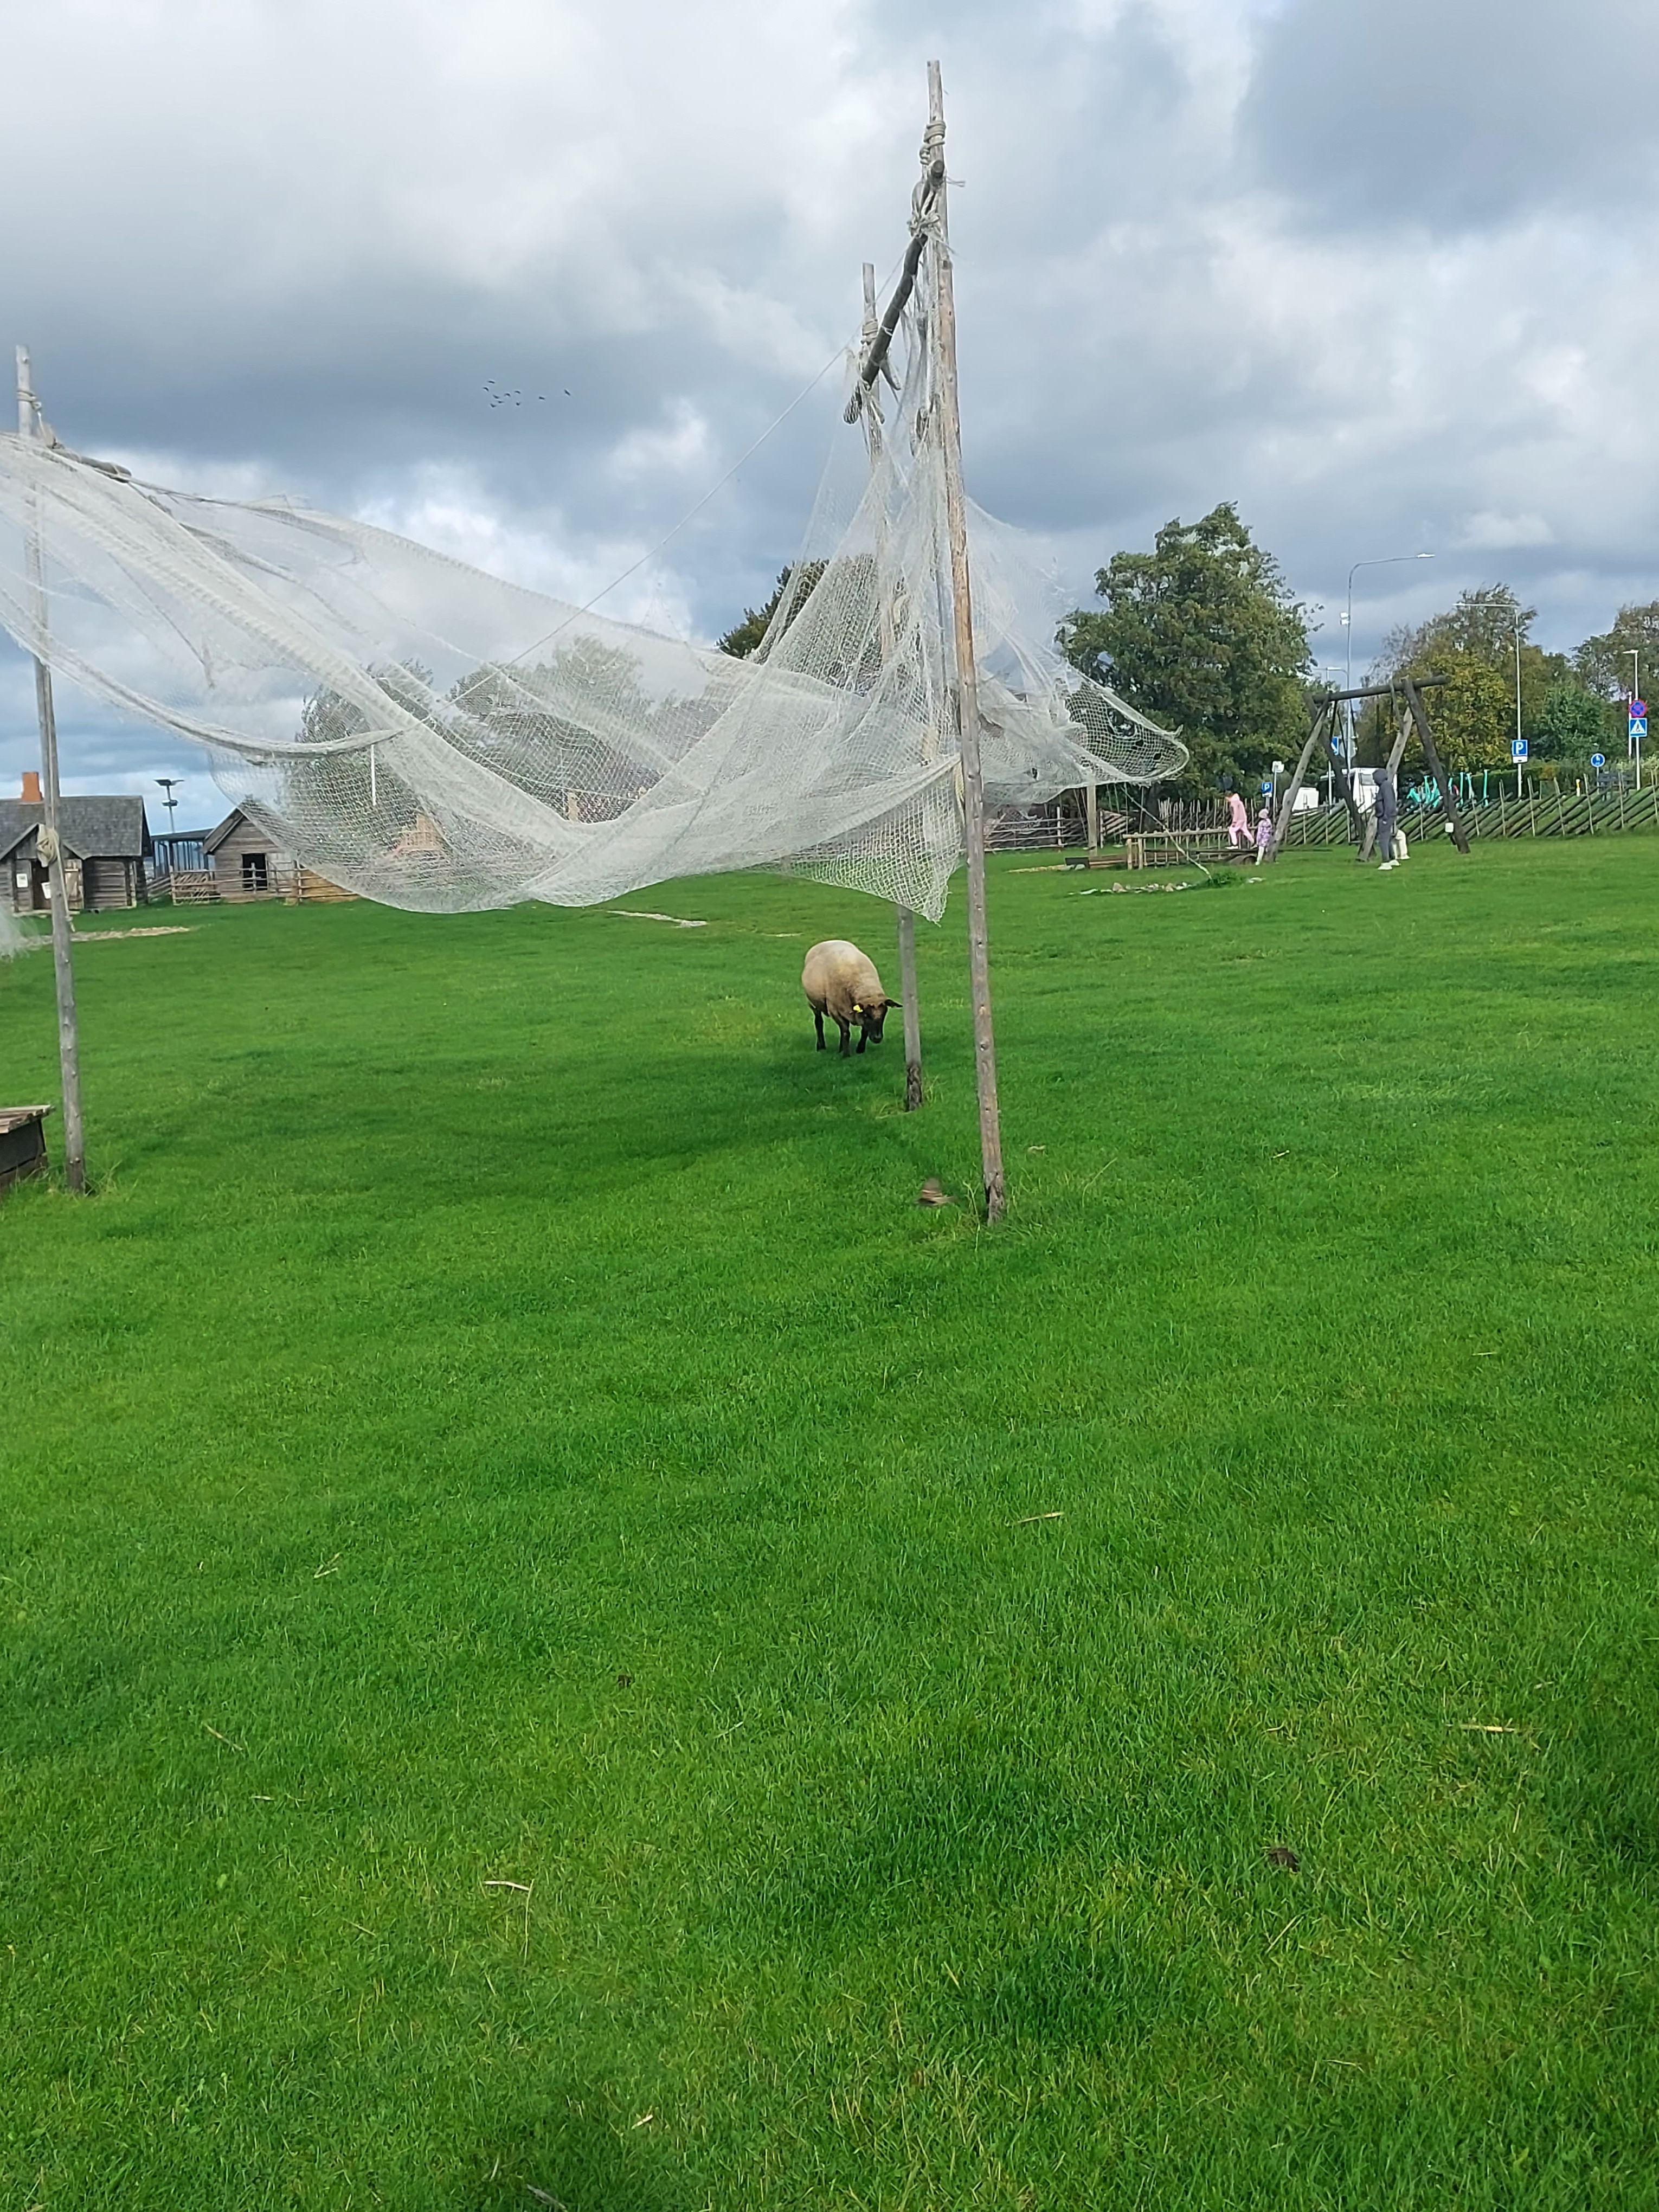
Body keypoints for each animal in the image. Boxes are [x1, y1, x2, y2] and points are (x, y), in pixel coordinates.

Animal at [800, 937, 898, 1057]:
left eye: (884, 1014)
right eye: (867, 1015)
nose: (877, 1038)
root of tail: (828, 941)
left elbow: (864, 1031)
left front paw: (860, 1050)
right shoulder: (835, 1011)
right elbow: (846, 1031)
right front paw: (846, 1054)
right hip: (813, 1004)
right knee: (819, 1023)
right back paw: (821, 1047)